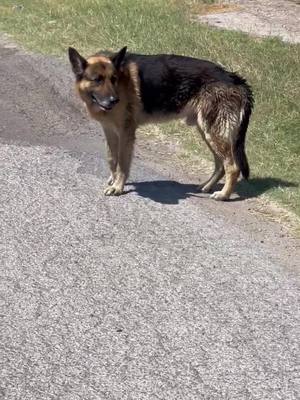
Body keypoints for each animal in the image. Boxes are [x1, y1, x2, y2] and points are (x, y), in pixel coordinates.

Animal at [68, 45, 253, 200]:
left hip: (213, 132)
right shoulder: (110, 131)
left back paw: (224, 194)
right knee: (220, 164)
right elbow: (112, 160)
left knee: (232, 167)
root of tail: (234, 78)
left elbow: (122, 164)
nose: (114, 100)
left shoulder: (126, 134)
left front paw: (118, 187)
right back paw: (206, 187)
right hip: (207, 132)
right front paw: (113, 181)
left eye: (114, 79)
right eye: (97, 79)